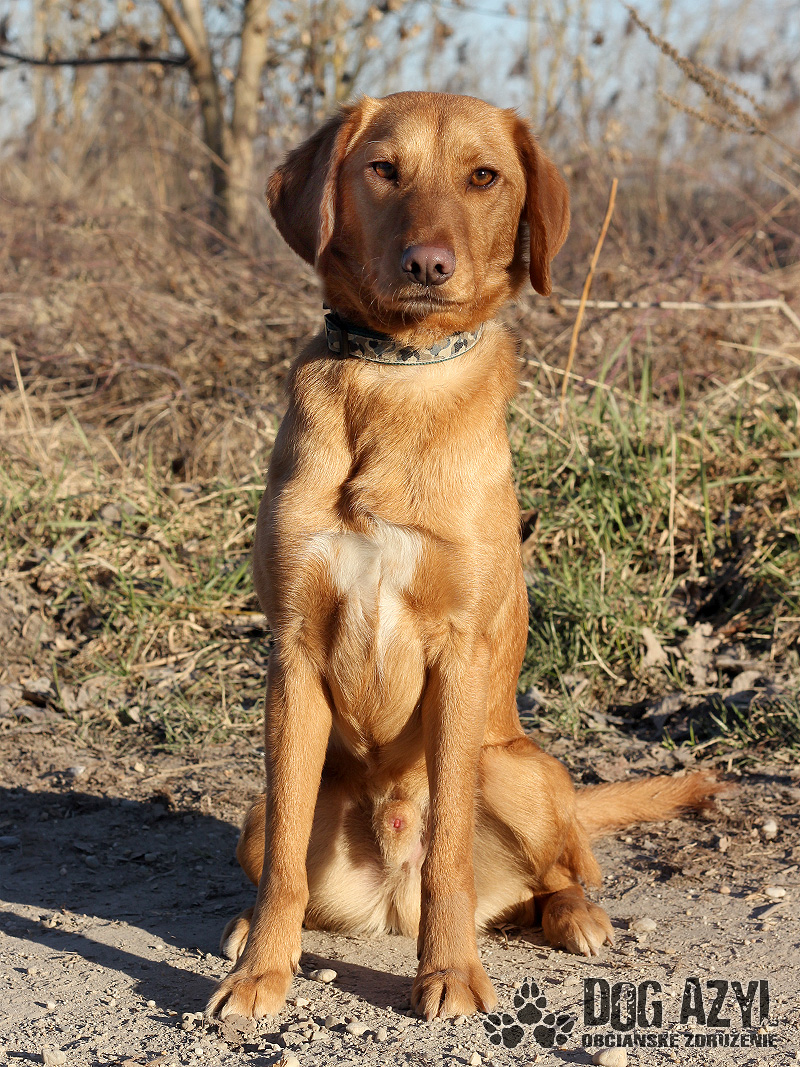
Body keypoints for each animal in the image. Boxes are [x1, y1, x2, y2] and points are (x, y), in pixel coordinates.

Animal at [207, 91, 720, 1022]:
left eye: (484, 176)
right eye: (383, 169)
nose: (428, 263)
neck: (397, 377)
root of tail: (388, 894)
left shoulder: (458, 651)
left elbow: (447, 847)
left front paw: (448, 971)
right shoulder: (292, 654)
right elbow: (289, 866)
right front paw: (263, 970)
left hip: (516, 769)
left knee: (560, 869)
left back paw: (577, 915)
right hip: (258, 811)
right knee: (285, 848)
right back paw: (246, 929)